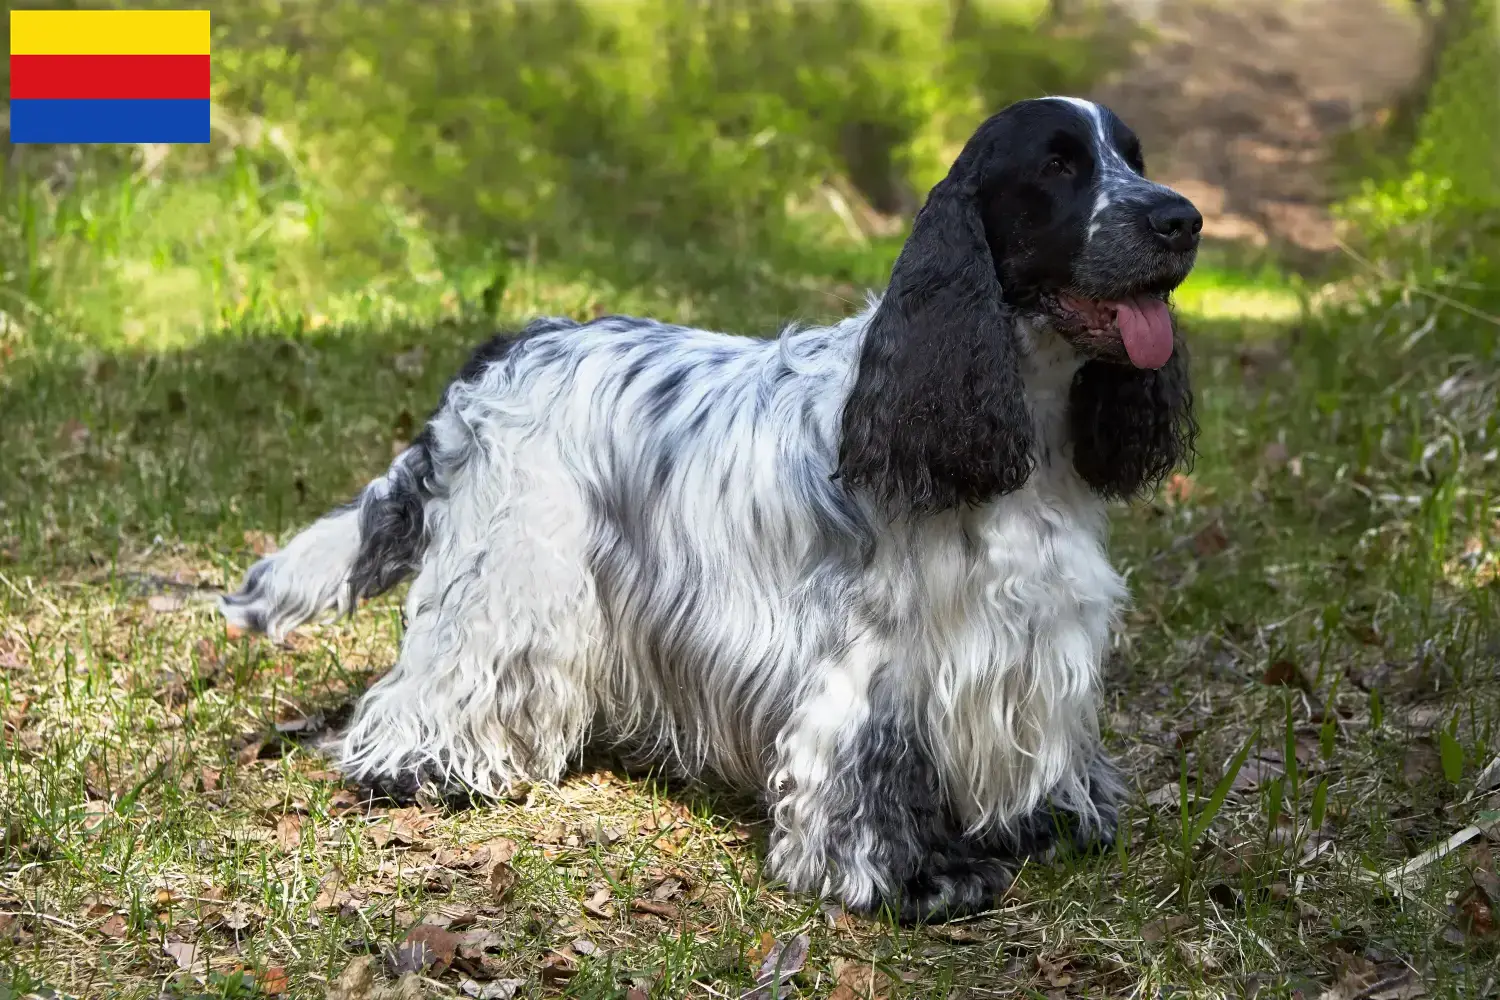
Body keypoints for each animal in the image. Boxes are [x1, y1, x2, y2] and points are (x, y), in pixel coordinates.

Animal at [219, 97, 1194, 929]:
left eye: (1137, 158)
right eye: (1059, 166)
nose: (1182, 221)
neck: (1024, 424)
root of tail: (509, 346)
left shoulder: (1034, 635)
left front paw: (1049, 822)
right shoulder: (879, 659)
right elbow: (870, 768)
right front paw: (913, 878)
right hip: (513, 570)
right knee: (442, 677)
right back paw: (420, 769)